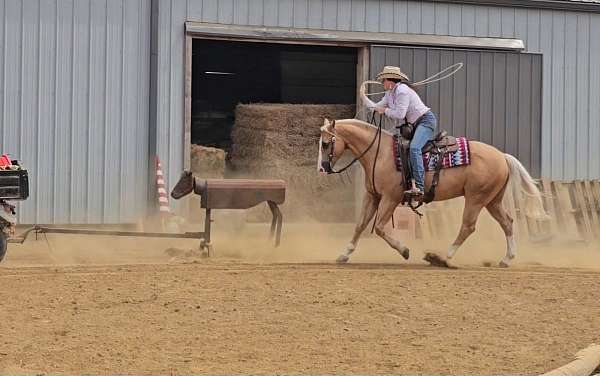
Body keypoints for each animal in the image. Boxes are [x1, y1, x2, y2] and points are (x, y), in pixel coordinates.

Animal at [318, 117, 548, 268]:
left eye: (326, 143)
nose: (322, 168)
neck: (380, 153)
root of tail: (502, 156)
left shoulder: (390, 198)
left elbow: (381, 229)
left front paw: (405, 250)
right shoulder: (372, 196)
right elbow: (360, 225)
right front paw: (344, 255)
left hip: (476, 198)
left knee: (468, 226)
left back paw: (443, 257)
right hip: (493, 200)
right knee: (507, 222)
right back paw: (506, 259)